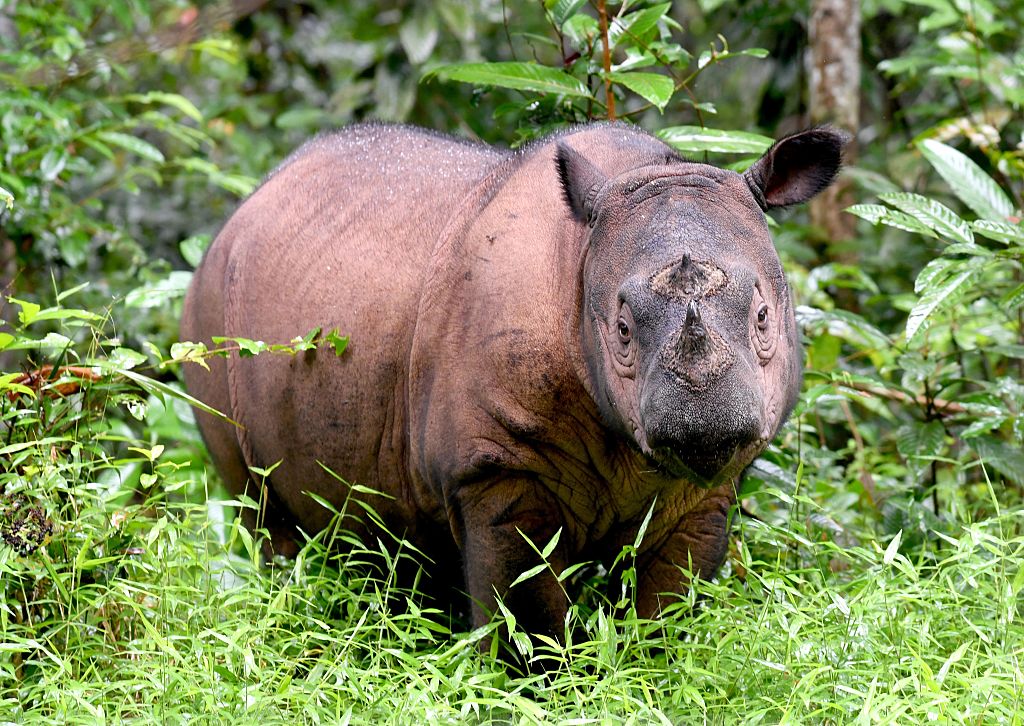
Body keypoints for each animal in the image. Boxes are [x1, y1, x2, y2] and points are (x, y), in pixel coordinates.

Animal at [181, 122, 844, 647]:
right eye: (622, 330)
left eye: (764, 318)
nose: (705, 425)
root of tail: (244, 205)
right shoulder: (495, 469)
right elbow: (525, 620)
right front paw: (541, 692)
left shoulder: (702, 492)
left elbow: (667, 612)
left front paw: (654, 673)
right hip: (207, 313)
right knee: (263, 514)